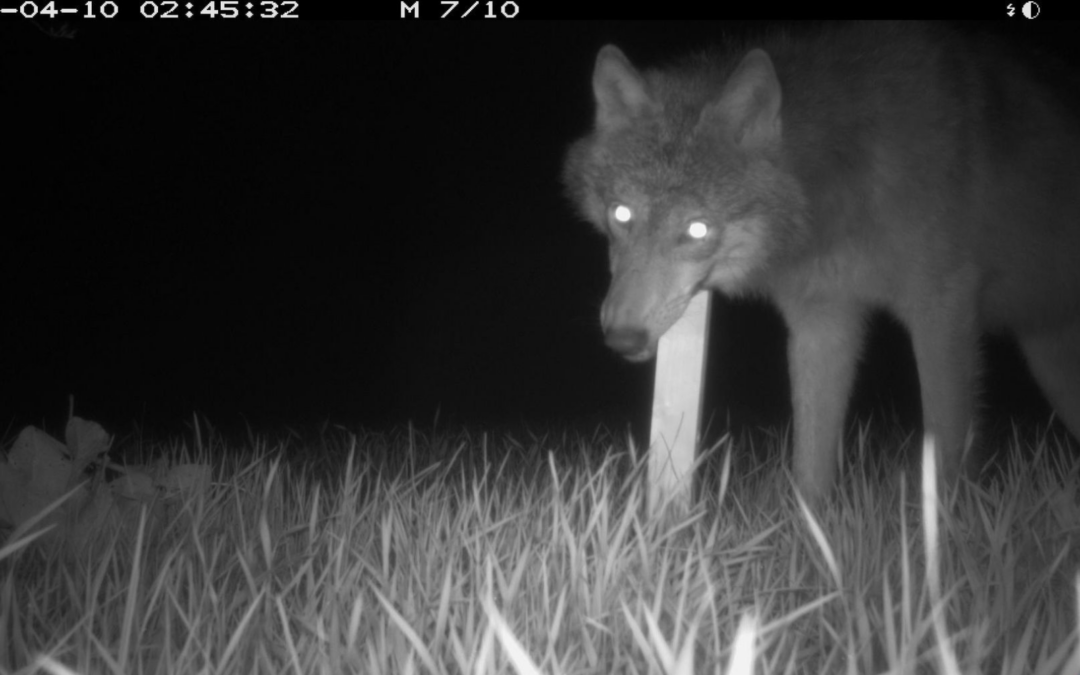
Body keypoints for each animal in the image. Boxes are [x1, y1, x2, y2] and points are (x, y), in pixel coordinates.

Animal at [563, 22, 1080, 502]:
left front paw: (950, 530)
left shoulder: (942, 310)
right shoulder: (822, 324)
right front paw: (807, 538)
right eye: (621, 214)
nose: (623, 337)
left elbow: (947, 449)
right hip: (1052, 365)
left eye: (697, 230)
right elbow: (810, 468)